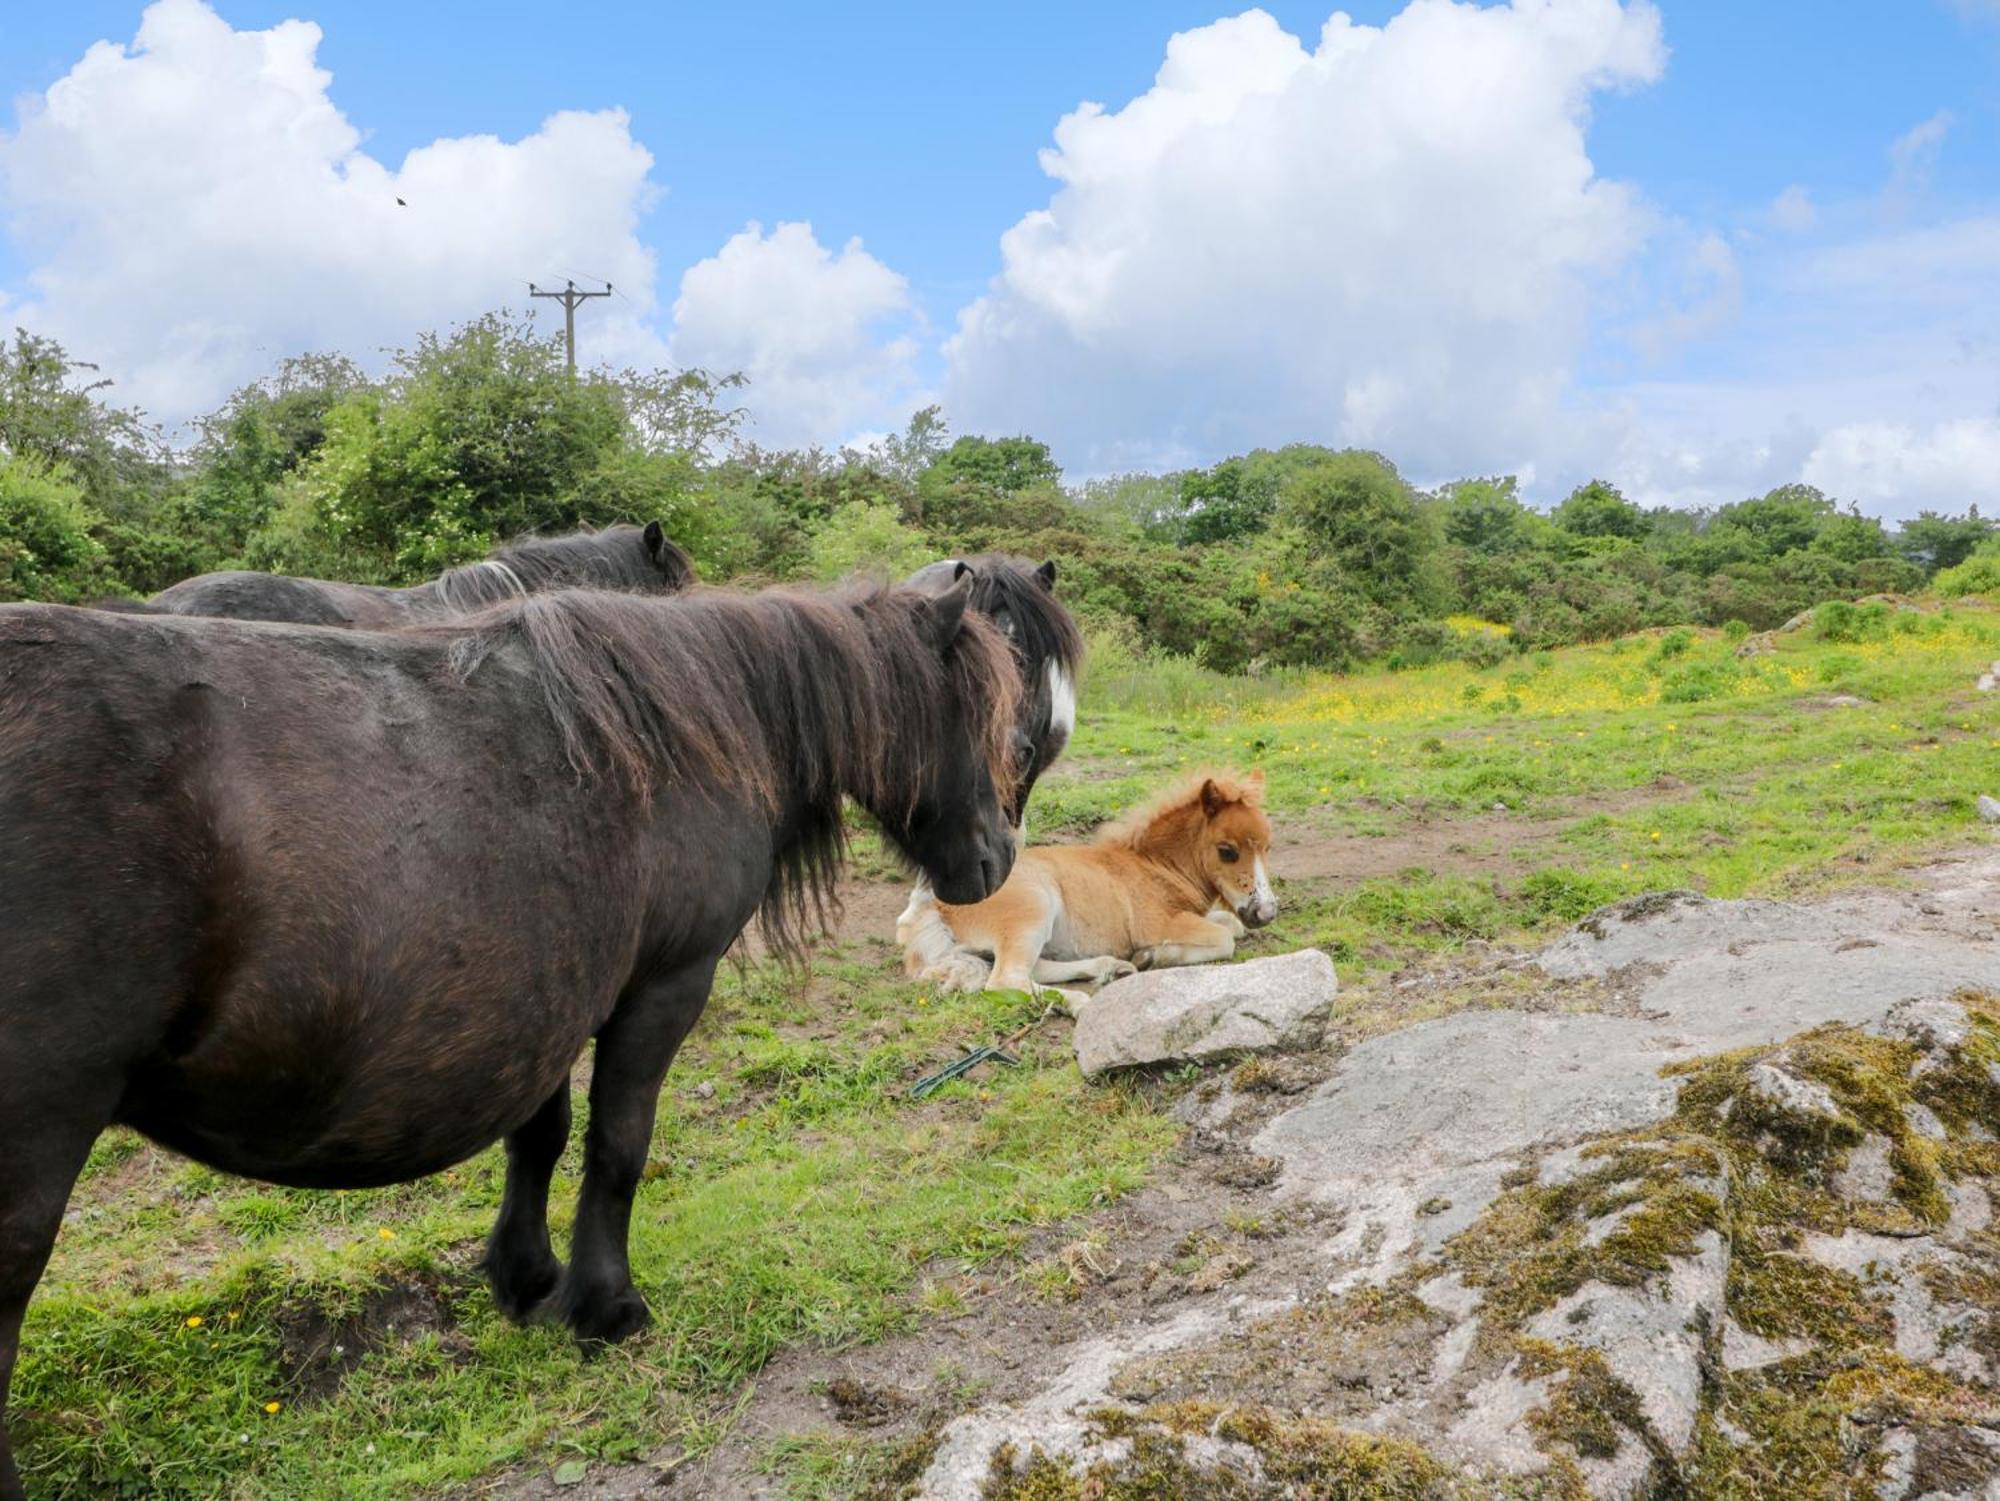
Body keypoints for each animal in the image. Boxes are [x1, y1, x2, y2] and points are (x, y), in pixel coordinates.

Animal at [0, 572, 1016, 1496]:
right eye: (968, 708)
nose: (999, 856)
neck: (688, 736)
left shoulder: (549, 997)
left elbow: (542, 1138)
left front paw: (526, 1278)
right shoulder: (661, 987)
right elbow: (617, 1147)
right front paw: (605, 1306)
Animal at [900, 768, 1272, 1004]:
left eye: (1268, 847)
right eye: (1227, 850)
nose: (1265, 913)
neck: (1156, 865)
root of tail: (935, 906)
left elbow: (1232, 925)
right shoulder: (1157, 924)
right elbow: (1225, 938)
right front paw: (1153, 956)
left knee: (1032, 968)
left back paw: (1111, 967)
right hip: (1034, 907)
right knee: (1006, 980)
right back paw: (1080, 1001)